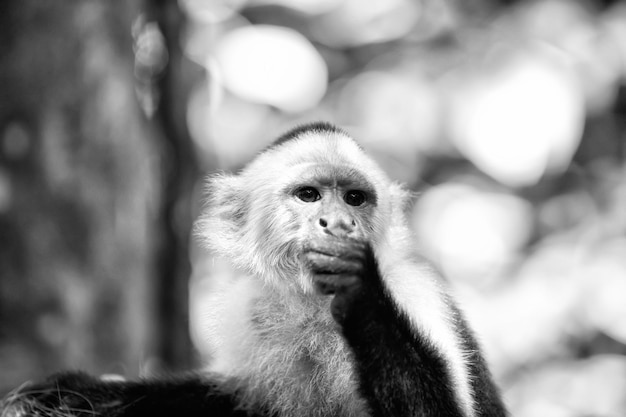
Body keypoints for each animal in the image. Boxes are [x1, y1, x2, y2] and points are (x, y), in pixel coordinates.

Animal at [0, 121, 504, 416]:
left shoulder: (412, 292)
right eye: (309, 195)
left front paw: (359, 288)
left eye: (355, 198)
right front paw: (75, 393)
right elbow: (226, 397)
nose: (338, 223)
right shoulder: (252, 314)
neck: (311, 312)